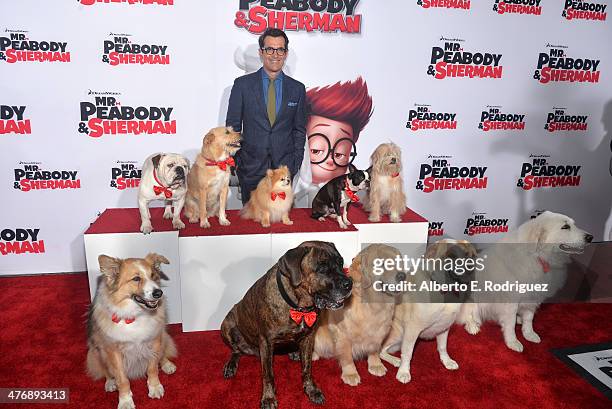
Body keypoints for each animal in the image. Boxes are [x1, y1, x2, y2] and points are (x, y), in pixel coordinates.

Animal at [87, 252, 177, 408]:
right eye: (136, 279)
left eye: (153, 275)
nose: (158, 293)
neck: (135, 315)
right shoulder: (113, 351)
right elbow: (122, 379)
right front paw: (125, 400)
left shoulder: (154, 341)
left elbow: (152, 368)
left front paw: (154, 387)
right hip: (97, 350)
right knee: (105, 370)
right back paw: (110, 382)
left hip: (163, 336)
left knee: (163, 353)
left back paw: (166, 364)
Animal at [222, 241, 352, 408]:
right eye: (322, 267)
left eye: (341, 263)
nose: (349, 284)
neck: (299, 307)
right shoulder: (266, 342)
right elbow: (268, 374)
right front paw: (269, 397)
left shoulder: (309, 337)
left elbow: (307, 368)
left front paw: (311, 390)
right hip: (227, 324)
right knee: (236, 350)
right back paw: (231, 364)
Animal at [310, 244, 406, 384]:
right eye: (380, 264)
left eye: (399, 262)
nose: (403, 276)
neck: (372, 304)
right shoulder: (342, 335)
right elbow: (347, 357)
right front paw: (350, 374)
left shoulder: (379, 332)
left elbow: (374, 350)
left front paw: (375, 364)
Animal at [460, 210, 592, 350]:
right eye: (565, 227)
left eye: (574, 224)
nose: (590, 237)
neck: (538, 256)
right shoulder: (510, 302)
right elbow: (510, 325)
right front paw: (512, 342)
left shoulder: (532, 298)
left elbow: (529, 319)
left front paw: (529, 334)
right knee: (469, 315)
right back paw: (472, 326)